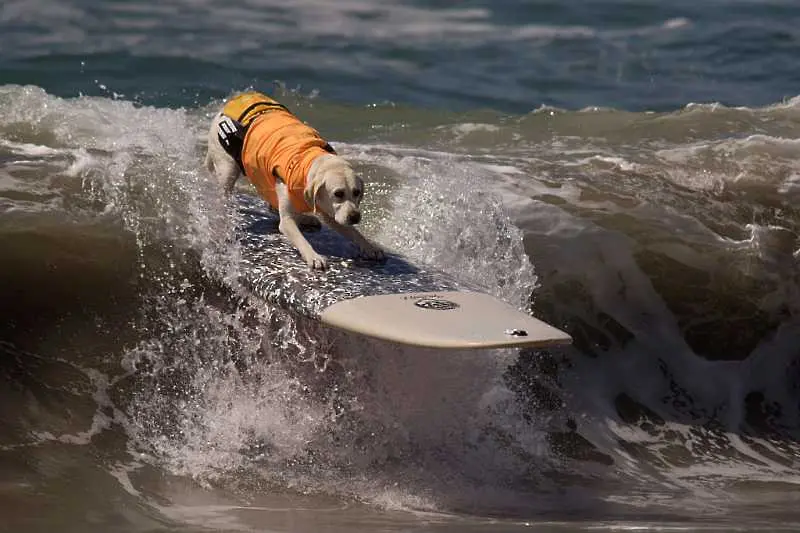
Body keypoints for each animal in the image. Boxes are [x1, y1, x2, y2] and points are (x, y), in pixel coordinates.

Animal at [205, 90, 382, 270]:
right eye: (338, 193)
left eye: (357, 192)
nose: (355, 217)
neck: (308, 162)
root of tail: (223, 109)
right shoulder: (289, 220)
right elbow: (299, 237)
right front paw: (313, 256)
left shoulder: (329, 212)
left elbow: (353, 232)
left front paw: (369, 247)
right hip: (228, 167)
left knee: (273, 206)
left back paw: (305, 218)